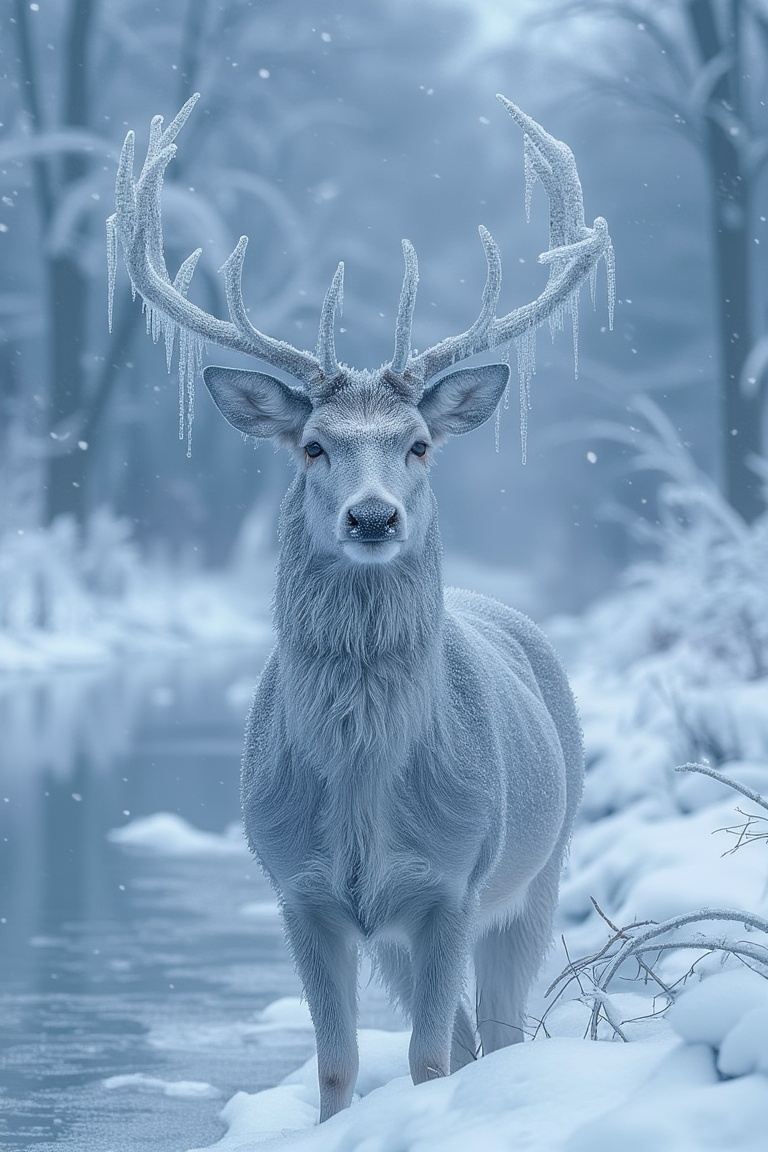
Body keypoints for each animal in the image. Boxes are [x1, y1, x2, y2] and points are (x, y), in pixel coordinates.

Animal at [108, 93, 613, 1122]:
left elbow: (427, 1060)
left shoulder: (454, 880)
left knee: (497, 1030)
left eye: (418, 443)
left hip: (539, 868)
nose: (373, 515)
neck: (361, 784)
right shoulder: (300, 890)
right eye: (312, 445)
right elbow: (338, 1064)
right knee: (470, 1035)